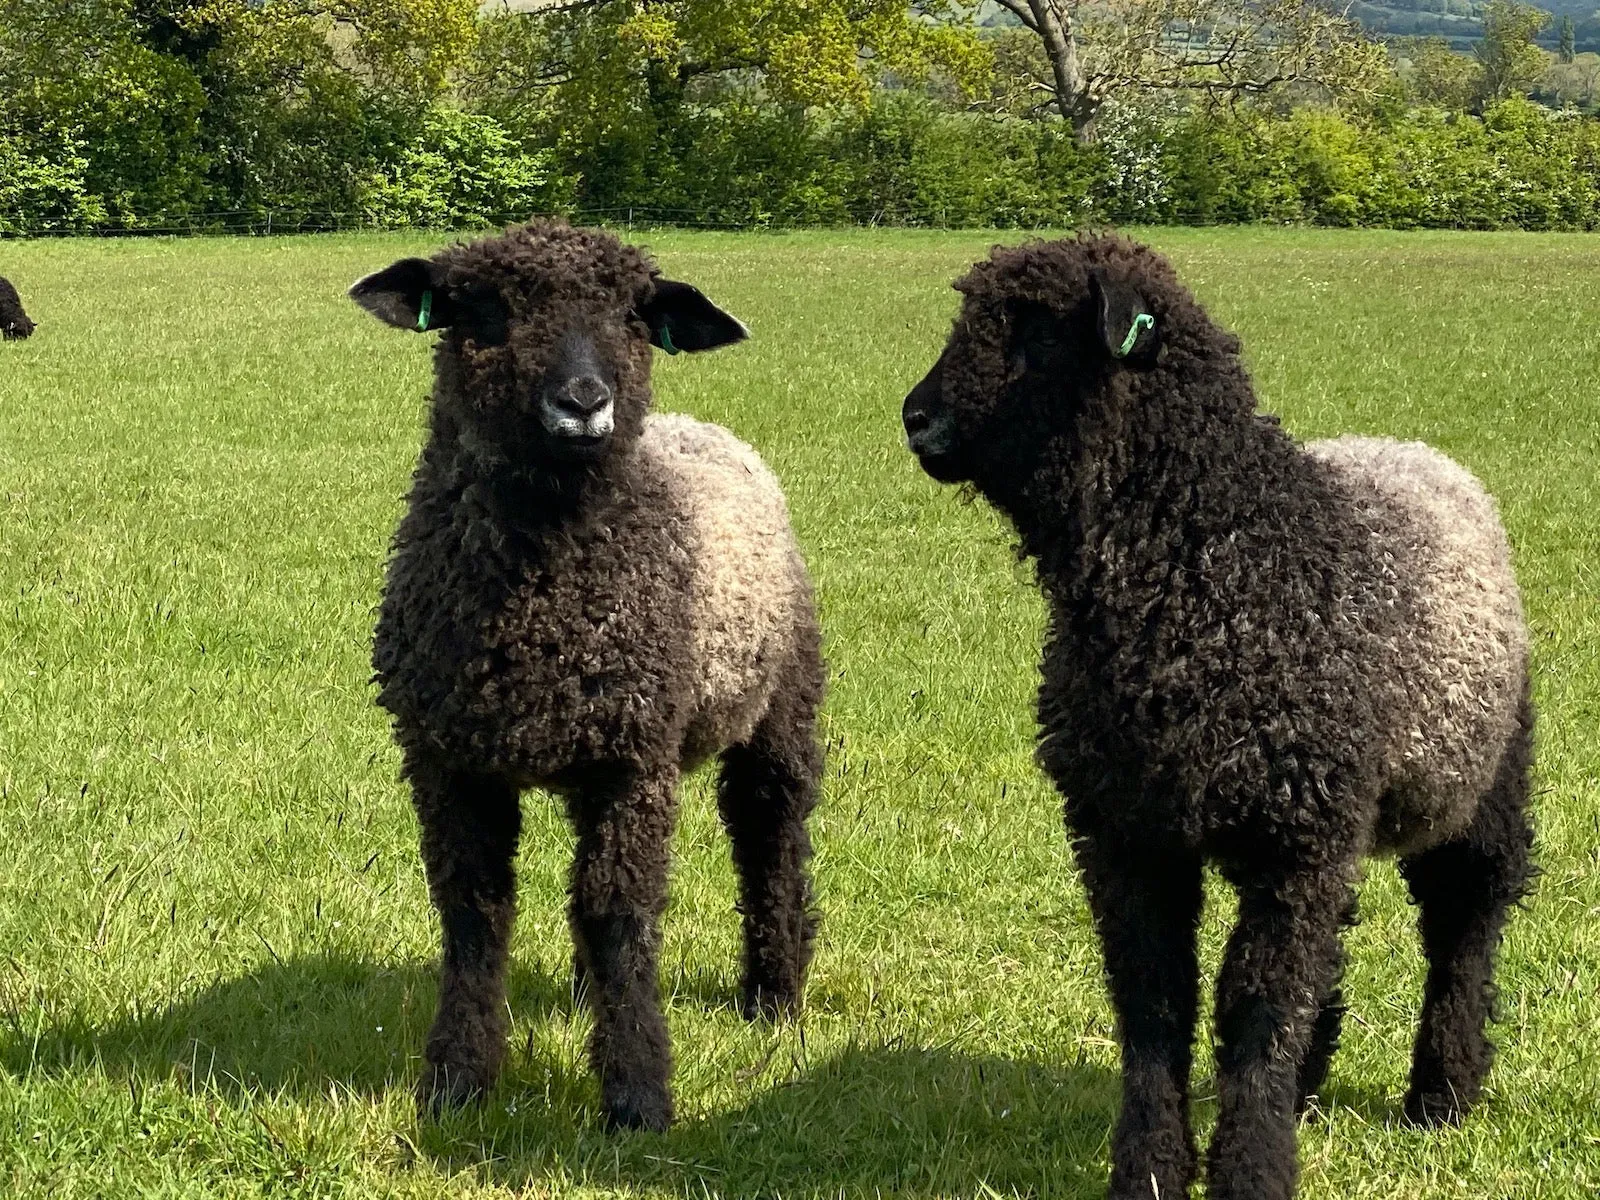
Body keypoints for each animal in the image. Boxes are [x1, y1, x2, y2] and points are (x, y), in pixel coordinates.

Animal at [348, 224, 825, 1139]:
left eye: (634, 314)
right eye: (482, 307)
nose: (582, 402)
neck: (540, 608)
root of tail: (697, 428)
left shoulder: (633, 762)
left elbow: (619, 916)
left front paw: (636, 1095)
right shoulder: (449, 763)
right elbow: (473, 913)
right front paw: (456, 1082)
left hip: (779, 704)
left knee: (769, 832)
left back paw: (773, 997)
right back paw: (581, 995)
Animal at [902, 230, 1536, 1196]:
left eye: (1033, 329)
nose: (915, 418)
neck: (1210, 559)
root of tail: (1411, 450)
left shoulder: (1292, 841)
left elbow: (1256, 1005)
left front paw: (1250, 1170)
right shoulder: (1128, 830)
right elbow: (1155, 997)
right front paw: (1152, 1170)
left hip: (1473, 789)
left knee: (1463, 927)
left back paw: (1441, 1094)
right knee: (1331, 945)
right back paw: (1313, 1087)